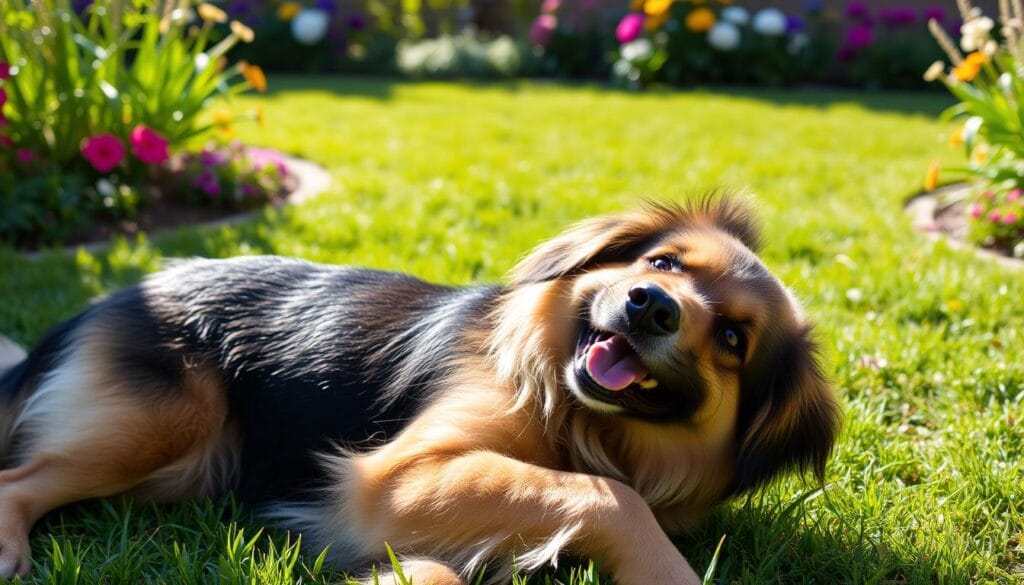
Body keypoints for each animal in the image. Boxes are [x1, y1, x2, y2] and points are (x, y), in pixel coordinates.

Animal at [0, 198, 839, 581]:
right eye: (665, 263)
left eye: (733, 339)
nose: (650, 305)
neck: (580, 421)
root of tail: (116, 295)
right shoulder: (399, 474)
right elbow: (607, 495)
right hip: (160, 423)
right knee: (18, 480)